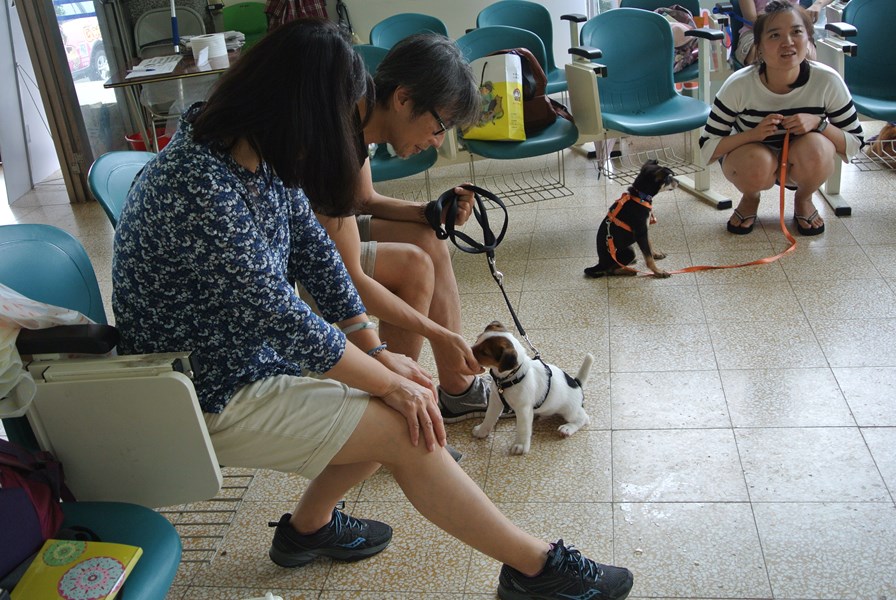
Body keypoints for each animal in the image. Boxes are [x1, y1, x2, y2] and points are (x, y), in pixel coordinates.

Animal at [468, 322, 596, 452]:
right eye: (477, 339)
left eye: (484, 352)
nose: (467, 350)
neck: (511, 377)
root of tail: (577, 383)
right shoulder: (495, 401)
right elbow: (489, 417)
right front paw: (482, 430)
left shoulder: (523, 409)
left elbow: (523, 429)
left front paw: (520, 445)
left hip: (570, 411)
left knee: (584, 418)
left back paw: (567, 428)